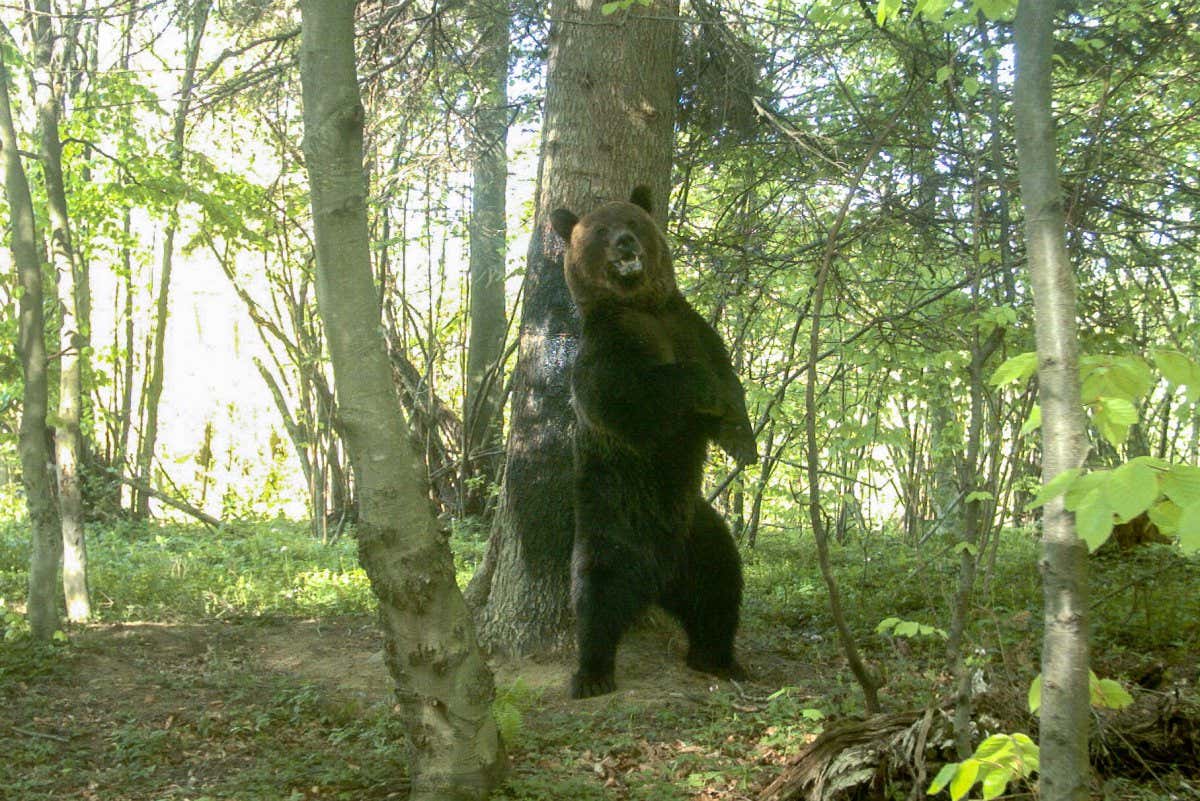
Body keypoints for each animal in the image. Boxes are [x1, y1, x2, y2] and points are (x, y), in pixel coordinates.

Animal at [550, 186, 757, 699]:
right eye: (600, 230)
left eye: (632, 221)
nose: (624, 242)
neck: (641, 306)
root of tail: (659, 580)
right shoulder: (609, 350)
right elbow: (630, 400)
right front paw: (701, 390)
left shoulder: (690, 326)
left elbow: (729, 379)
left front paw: (742, 442)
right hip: (611, 528)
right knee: (596, 600)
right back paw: (591, 675)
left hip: (700, 534)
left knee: (720, 589)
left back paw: (717, 659)